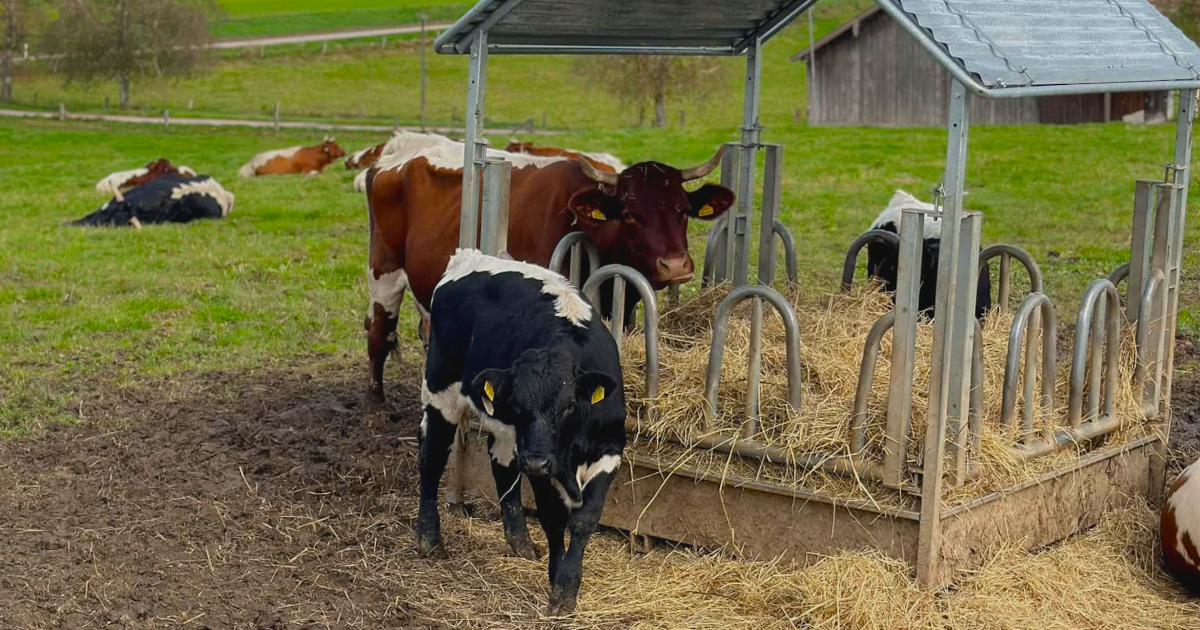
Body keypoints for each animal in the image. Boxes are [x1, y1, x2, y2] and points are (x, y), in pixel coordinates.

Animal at [360, 133, 729, 408]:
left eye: (683, 210)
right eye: (629, 215)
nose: (675, 265)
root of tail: (402, 145)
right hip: (384, 266)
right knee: (379, 330)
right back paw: (377, 402)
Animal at [417, 249, 628, 614]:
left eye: (569, 405)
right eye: (516, 402)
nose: (536, 461)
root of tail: (468, 257)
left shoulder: (609, 451)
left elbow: (584, 519)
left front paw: (567, 585)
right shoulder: (540, 463)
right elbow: (553, 518)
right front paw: (559, 585)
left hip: (508, 435)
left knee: (502, 467)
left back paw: (520, 542)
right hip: (441, 388)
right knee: (432, 456)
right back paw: (429, 539)